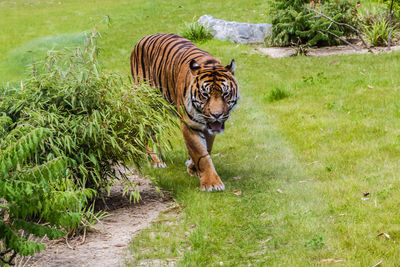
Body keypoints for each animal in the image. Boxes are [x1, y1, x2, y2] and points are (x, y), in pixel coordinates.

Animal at [130, 33, 239, 193]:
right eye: (205, 95)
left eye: (225, 94)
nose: (216, 115)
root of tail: (142, 39)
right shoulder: (189, 124)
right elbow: (200, 153)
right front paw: (212, 184)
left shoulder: (210, 127)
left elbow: (206, 149)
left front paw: (192, 167)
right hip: (148, 104)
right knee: (149, 132)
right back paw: (156, 161)